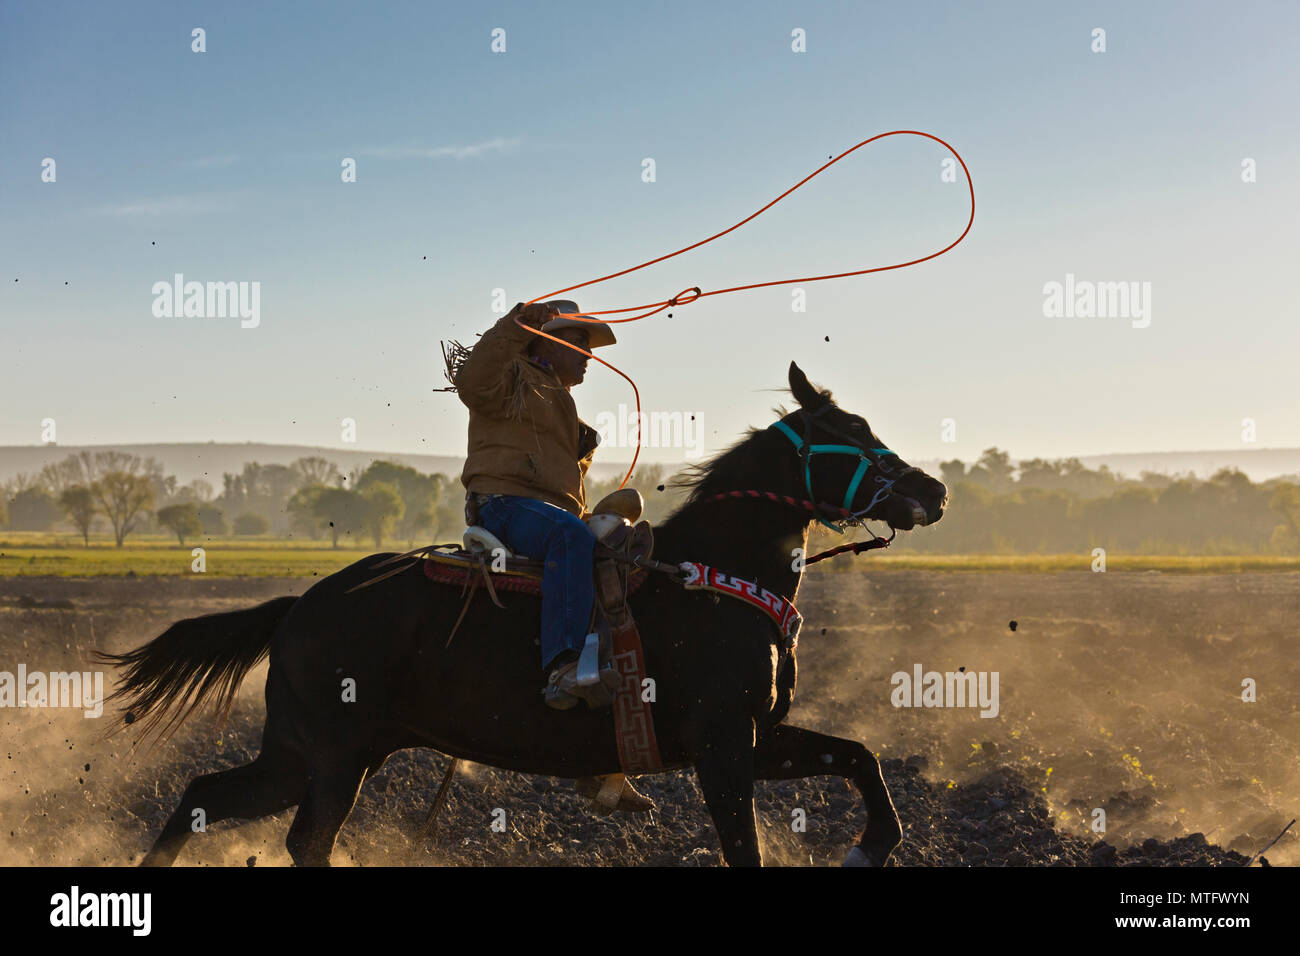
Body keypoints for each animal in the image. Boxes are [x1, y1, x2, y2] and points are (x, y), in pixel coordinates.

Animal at [101, 364, 951, 868]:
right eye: (852, 435)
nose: (933, 490)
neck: (712, 580)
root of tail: (301, 605)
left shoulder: (756, 739)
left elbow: (862, 759)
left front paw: (873, 846)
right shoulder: (721, 746)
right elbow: (745, 846)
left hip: (312, 753)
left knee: (205, 797)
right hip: (329, 754)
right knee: (299, 836)